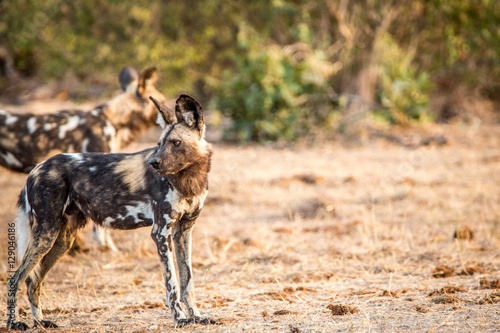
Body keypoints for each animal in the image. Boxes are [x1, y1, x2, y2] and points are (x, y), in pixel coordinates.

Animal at [7, 94, 215, 328]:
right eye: (159, 144)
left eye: (176, 143)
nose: (154, 163)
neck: (189, 178)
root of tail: (36, 169)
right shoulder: (161, 233)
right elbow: (172, 284)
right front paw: (180, 318)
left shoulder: (183, 232)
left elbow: (187, 281)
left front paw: (196, 317)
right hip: (46, 234)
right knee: (15, 278)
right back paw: (14, 323)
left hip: (62, 240)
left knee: (33, 280)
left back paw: (41, 322)